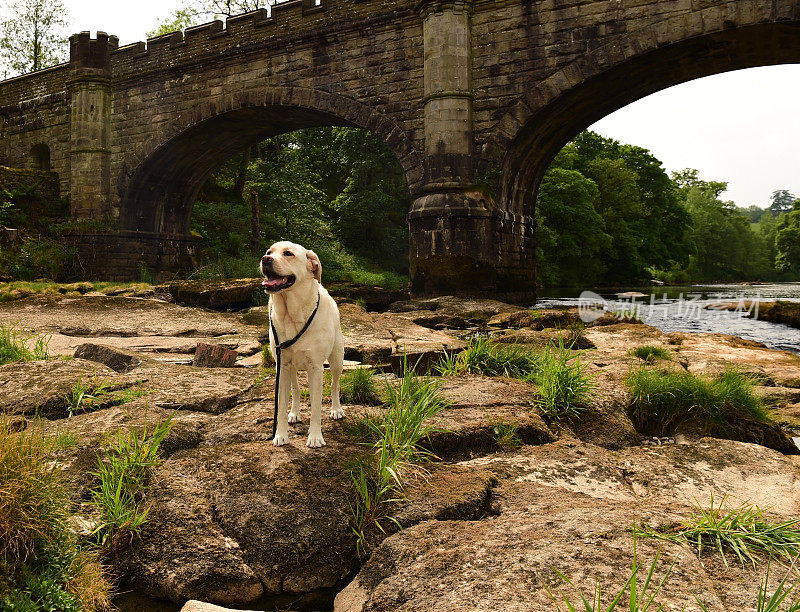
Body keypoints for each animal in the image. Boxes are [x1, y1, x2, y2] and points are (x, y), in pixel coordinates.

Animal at [260, 241, 346, 448]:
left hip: (337, 359)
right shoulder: (282, 365)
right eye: (269, 251)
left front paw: (315, 437)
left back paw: (336, 410)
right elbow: (282, 404)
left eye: (288, 254)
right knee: (296, 389)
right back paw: (295, 413)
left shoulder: (316, 367)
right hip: (291, 367)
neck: (291, 313)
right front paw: (280, 435)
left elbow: (316, 406)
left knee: (335, 385)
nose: (265, 259)